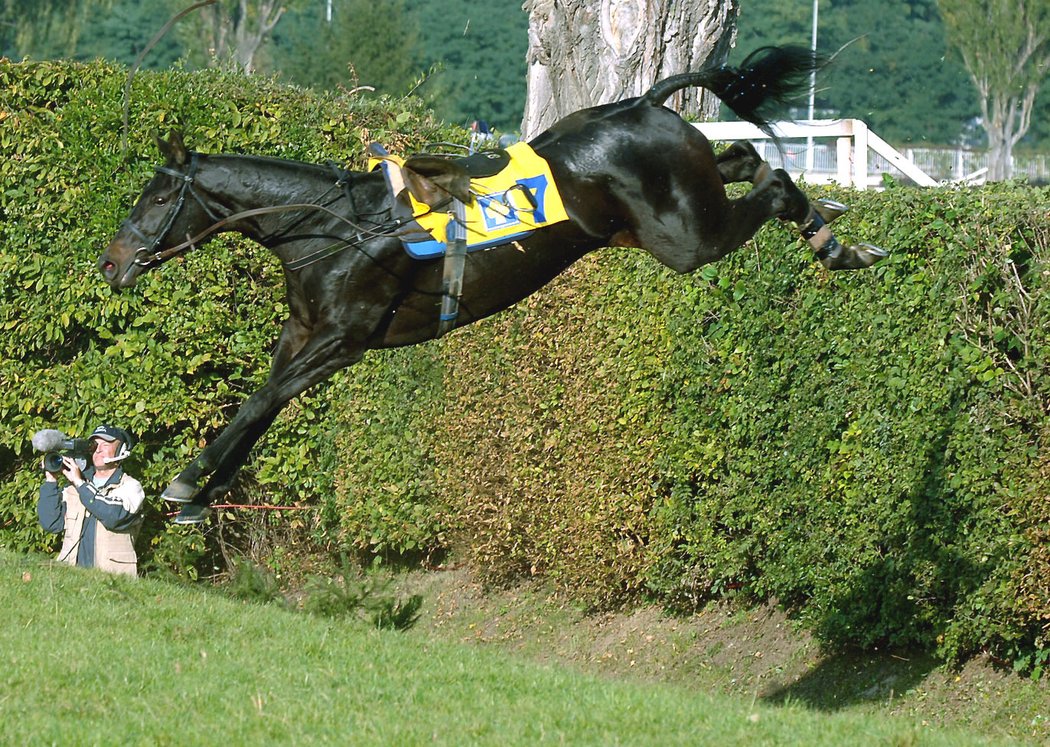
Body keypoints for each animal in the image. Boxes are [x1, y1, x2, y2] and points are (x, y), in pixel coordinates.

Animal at [98, 48, 886, 525]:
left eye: (153, 197)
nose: (110, 263)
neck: (333, 226)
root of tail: (641, 103)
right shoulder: (305, 332)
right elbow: (263, 402)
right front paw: (202, 491)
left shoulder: (344, 338)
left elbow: (262, 399)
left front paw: (185, 483)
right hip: (673, 207)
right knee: (747, 157)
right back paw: (830, 225)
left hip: (686, 239)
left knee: (774, 183)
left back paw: (836, 242)